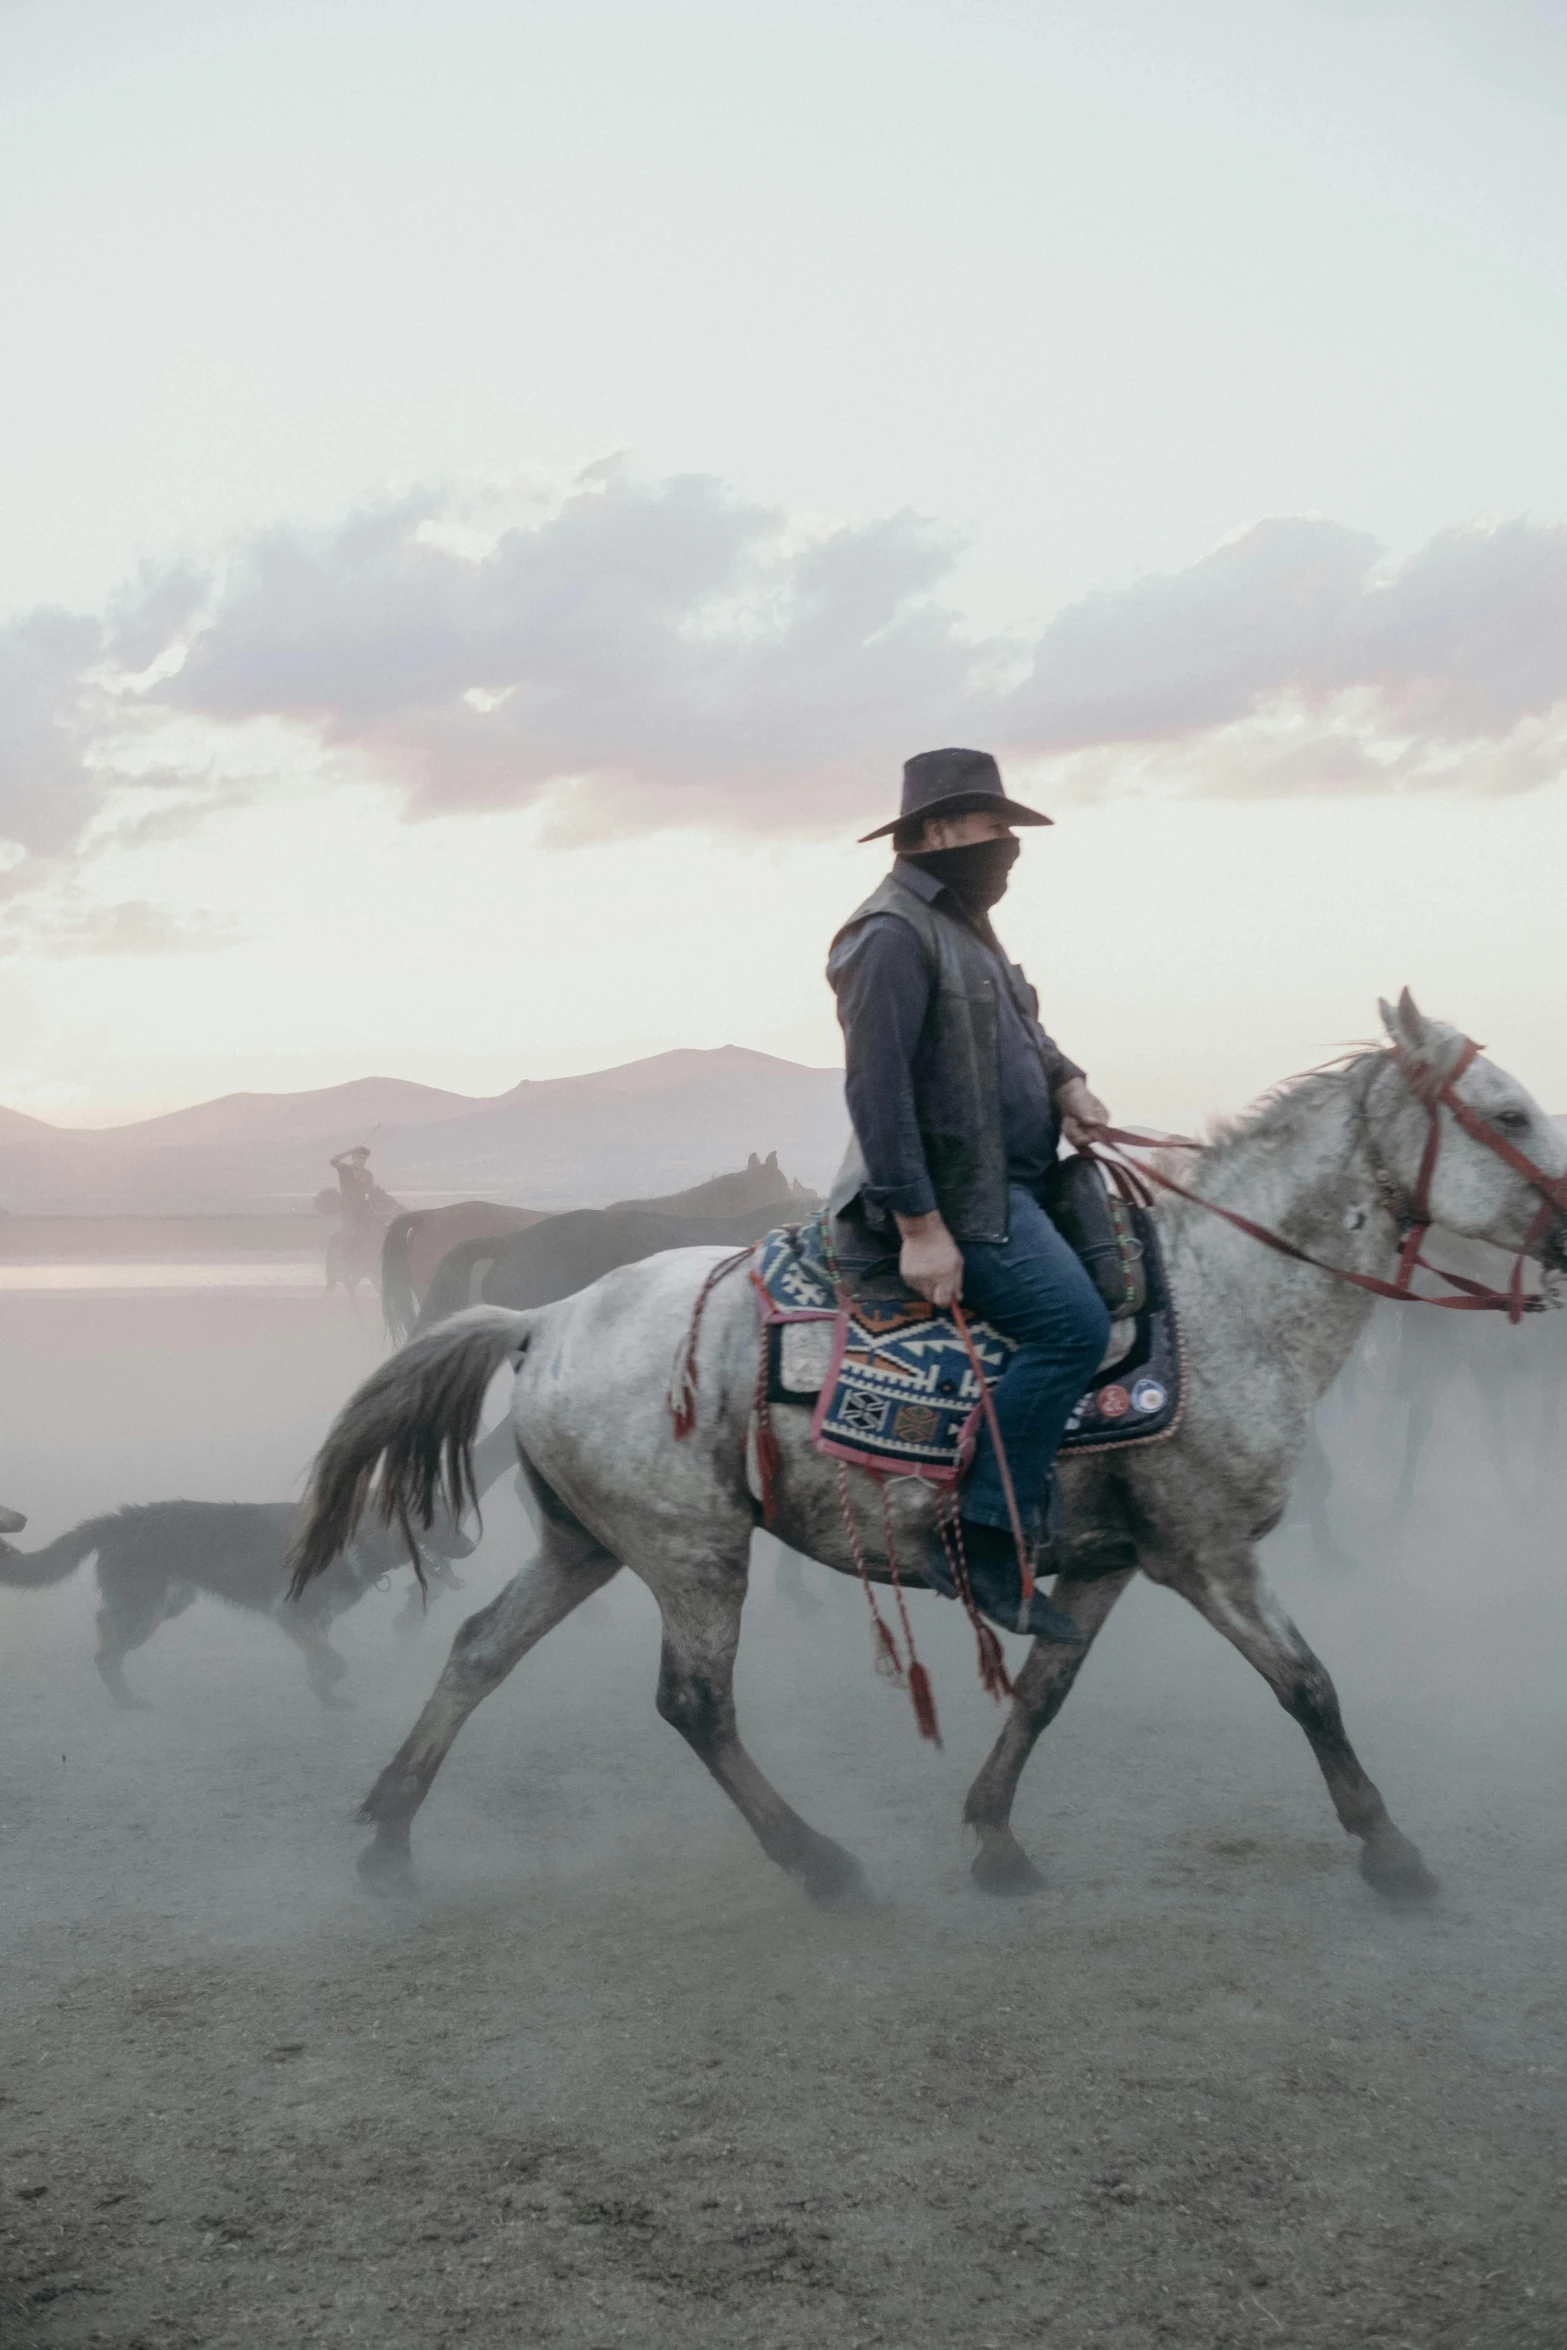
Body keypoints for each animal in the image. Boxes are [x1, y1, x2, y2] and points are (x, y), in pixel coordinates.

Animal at [287, 996, 1559, 1908]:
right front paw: (1391, 1851)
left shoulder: (1105, 1561)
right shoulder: (1206, 1555)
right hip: (692, 1553)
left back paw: (390, 1832)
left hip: (587, 1545)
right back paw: (820, 1862)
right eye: (1505, 1112)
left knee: (478, 1652)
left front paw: (994, 1836)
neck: (1221, 1301)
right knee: (693, 1702)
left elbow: (1044, 1692)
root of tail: (543, 1320)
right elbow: (1309, 1685)